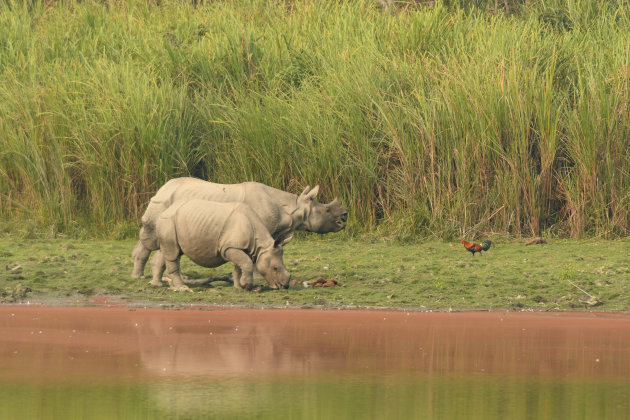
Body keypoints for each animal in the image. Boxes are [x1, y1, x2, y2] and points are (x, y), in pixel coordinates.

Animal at [133, 177, 348, 278]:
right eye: (327, 210)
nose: (345, 214)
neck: (292, 208)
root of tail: (161, 188)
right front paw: (257, 275)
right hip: (162, 204)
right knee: (152, 239)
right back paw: (140, 276)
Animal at [153, 200, 294, 292]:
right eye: (275, 268)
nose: (284, 286)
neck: (261, 246)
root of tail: (164, 211)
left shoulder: (240, 247)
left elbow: (240, 266)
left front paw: (239, 286)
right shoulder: (229, 248)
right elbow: (247, 263)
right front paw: (247, 286)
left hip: (171, 222)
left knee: (168, 252)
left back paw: (160, 285)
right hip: (168, 221)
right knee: (173, 254)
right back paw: (182, 288)